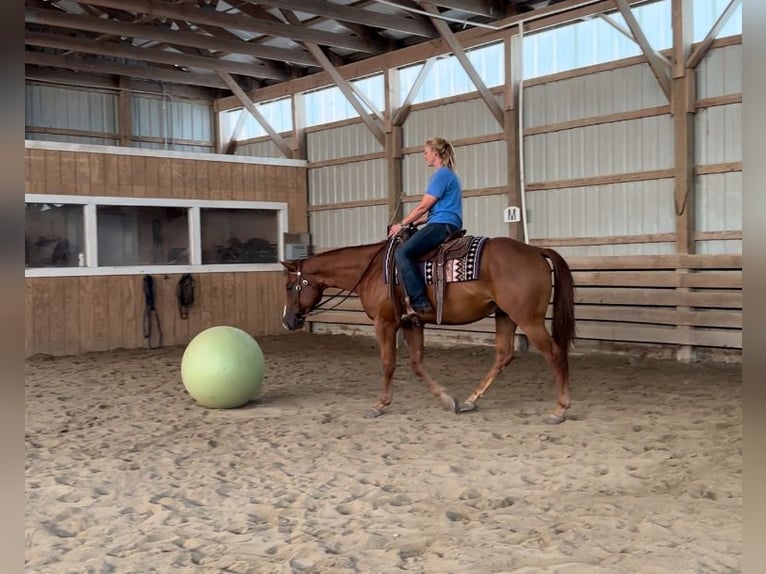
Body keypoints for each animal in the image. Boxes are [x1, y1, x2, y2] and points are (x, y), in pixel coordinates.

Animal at [282, 236, 576, 426]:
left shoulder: (384, 323)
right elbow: (416, 364)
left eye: (288, 286)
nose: (287, 321)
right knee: (504, 355)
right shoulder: (412, 323)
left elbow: (388, 363)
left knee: (554, 353)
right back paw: (470, 400)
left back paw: (560, 409)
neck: (373, 270)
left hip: (529, 319)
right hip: (505, 315)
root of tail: (535, 251)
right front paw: (447, 400)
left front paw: (380, 405)